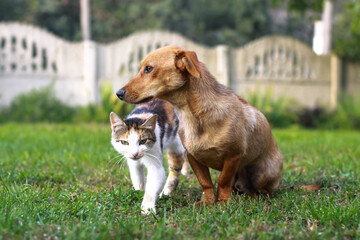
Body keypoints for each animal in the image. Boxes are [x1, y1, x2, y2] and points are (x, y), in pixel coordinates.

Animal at [116, 46, 282, 205]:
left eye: (148, 69)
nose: (118, 93)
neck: (194, 116)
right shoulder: (193, 157)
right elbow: (206, 183)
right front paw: (206, 203)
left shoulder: (233, 156)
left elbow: (222, 181)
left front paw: (222, 203)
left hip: (260, 173)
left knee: (264, 191)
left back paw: (250, 197)